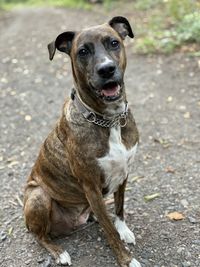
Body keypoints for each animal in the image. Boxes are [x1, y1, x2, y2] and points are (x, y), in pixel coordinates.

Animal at [23, 17, 141, 267]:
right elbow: (110, 230)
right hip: (38, 196)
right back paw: (59, 252)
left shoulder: (124, 173)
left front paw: (124, 230)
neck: (109, 121)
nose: (106, 69)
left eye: (114, 43)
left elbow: (119, 208)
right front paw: (126, 259)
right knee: (39, 236)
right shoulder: (91, 186)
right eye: (83, 51)